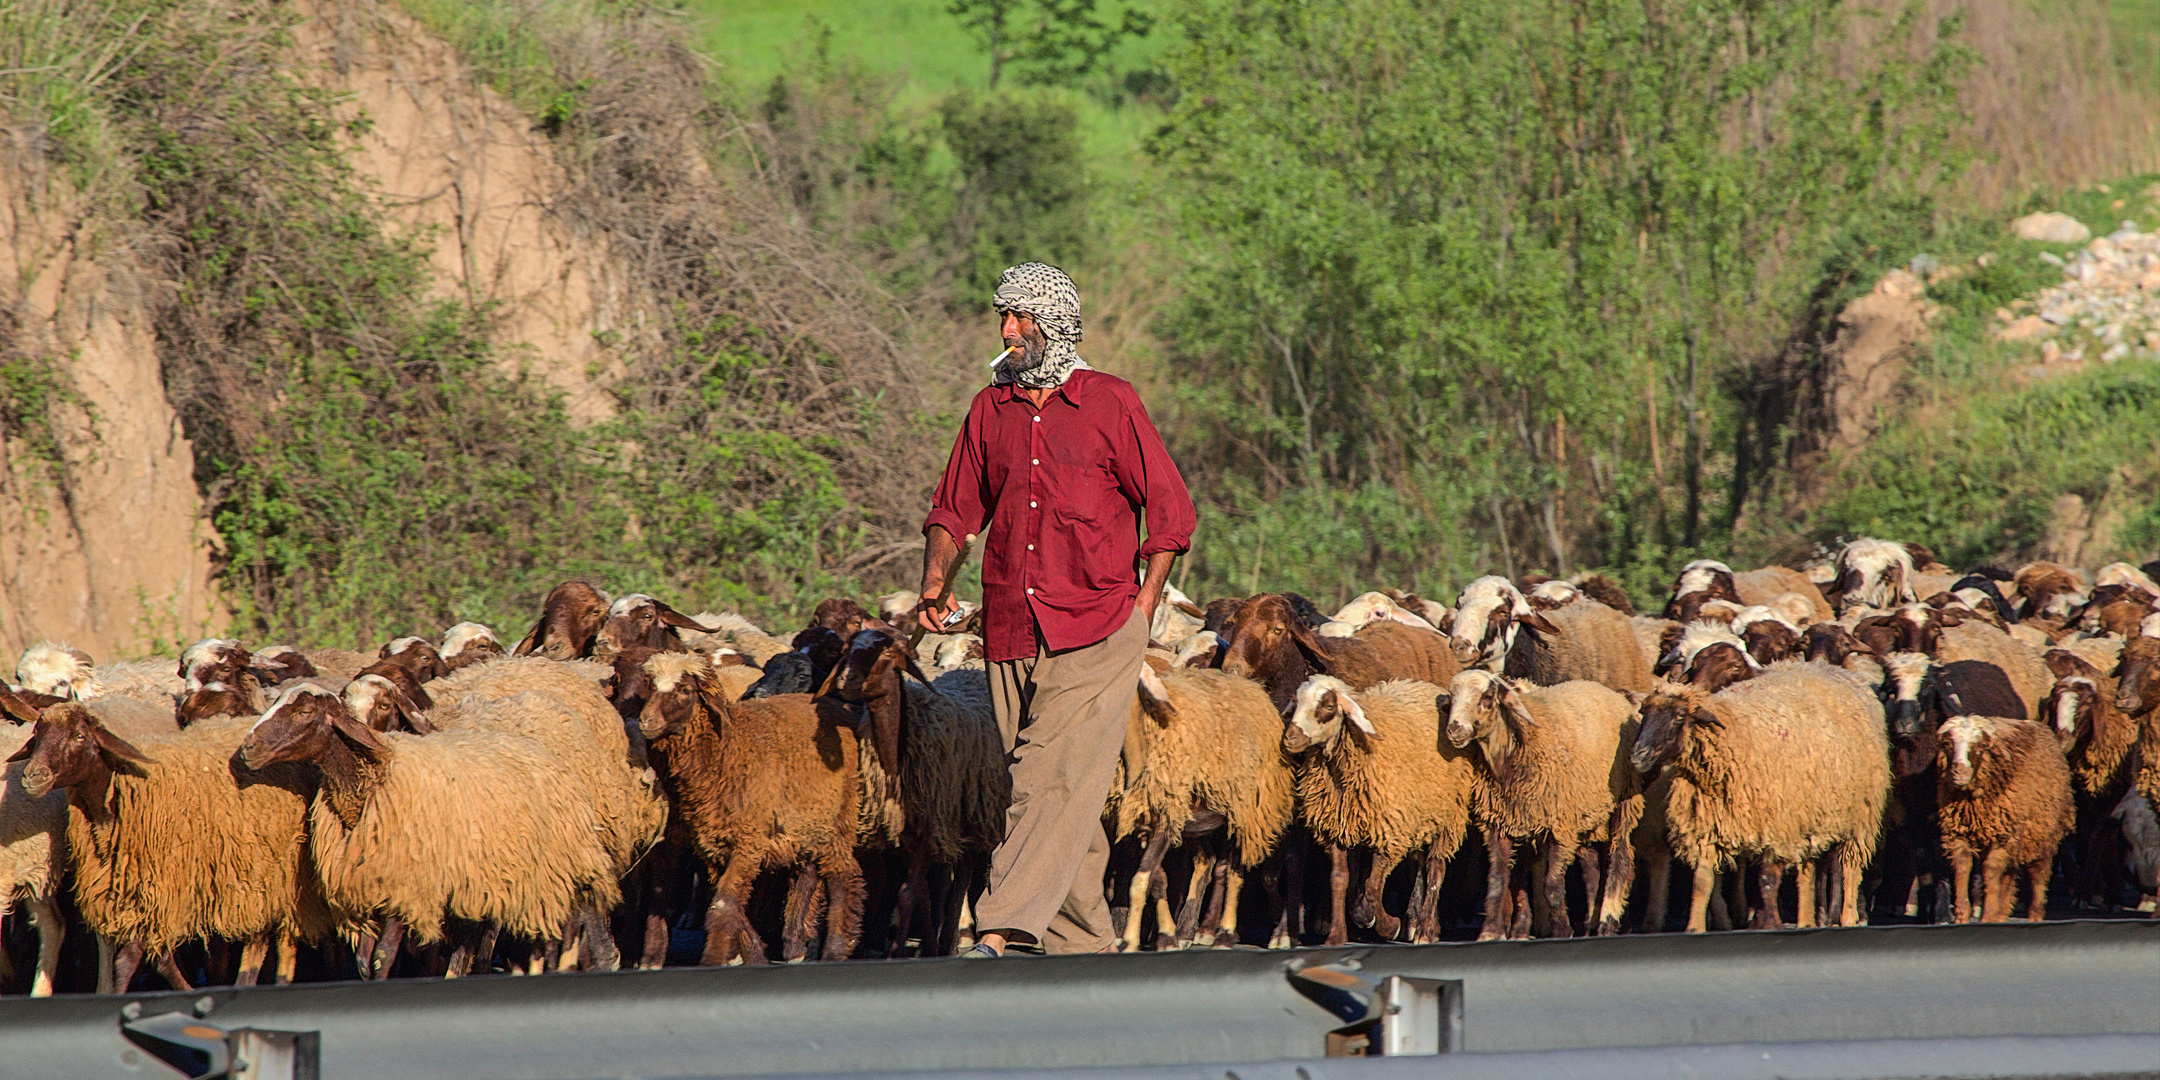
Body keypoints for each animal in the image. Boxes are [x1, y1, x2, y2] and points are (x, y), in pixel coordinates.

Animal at [1278, 673, 1486, 946]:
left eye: (1328, 706)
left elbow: (1373, 887)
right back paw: (1425, 924)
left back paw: (1424, 930)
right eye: (1297, 701)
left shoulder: (1389, 831)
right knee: (1421, 864)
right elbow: (1339, 879)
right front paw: (1337, 934)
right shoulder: (1337, 828)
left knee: (1435, 868)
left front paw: (1385, 925)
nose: (1290, 738)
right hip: (1422, 815)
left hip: (1448, 815)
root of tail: (1429, 688)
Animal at [1442, 669, 1641, 941]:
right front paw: (1490, 932)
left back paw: (1607, 922)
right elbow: (1497, 882)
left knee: (1620, 858)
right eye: (1451, 698)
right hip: (1589, 814)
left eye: (1487, 697)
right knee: (1592, 868)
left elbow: (1552, 888)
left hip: (1624, 799)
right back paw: (1591, 923)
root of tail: (1618, 696)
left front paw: (1562, 930)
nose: (1454, 729)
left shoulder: (1560, 825)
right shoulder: (1500, 824)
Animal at [1944, 717, 2073, 920]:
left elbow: (1990, 870)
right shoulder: (1957, 835)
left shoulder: (2002, 837)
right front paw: (1962, 917)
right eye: (1948, 744)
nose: (1959, 770)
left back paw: (2034, 915)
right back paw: (2002, 913)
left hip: (2044, 833)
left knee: (2039, 873)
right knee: (2008, 875)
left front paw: (1988, 916)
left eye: (1979, 746)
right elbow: (1963, 867)